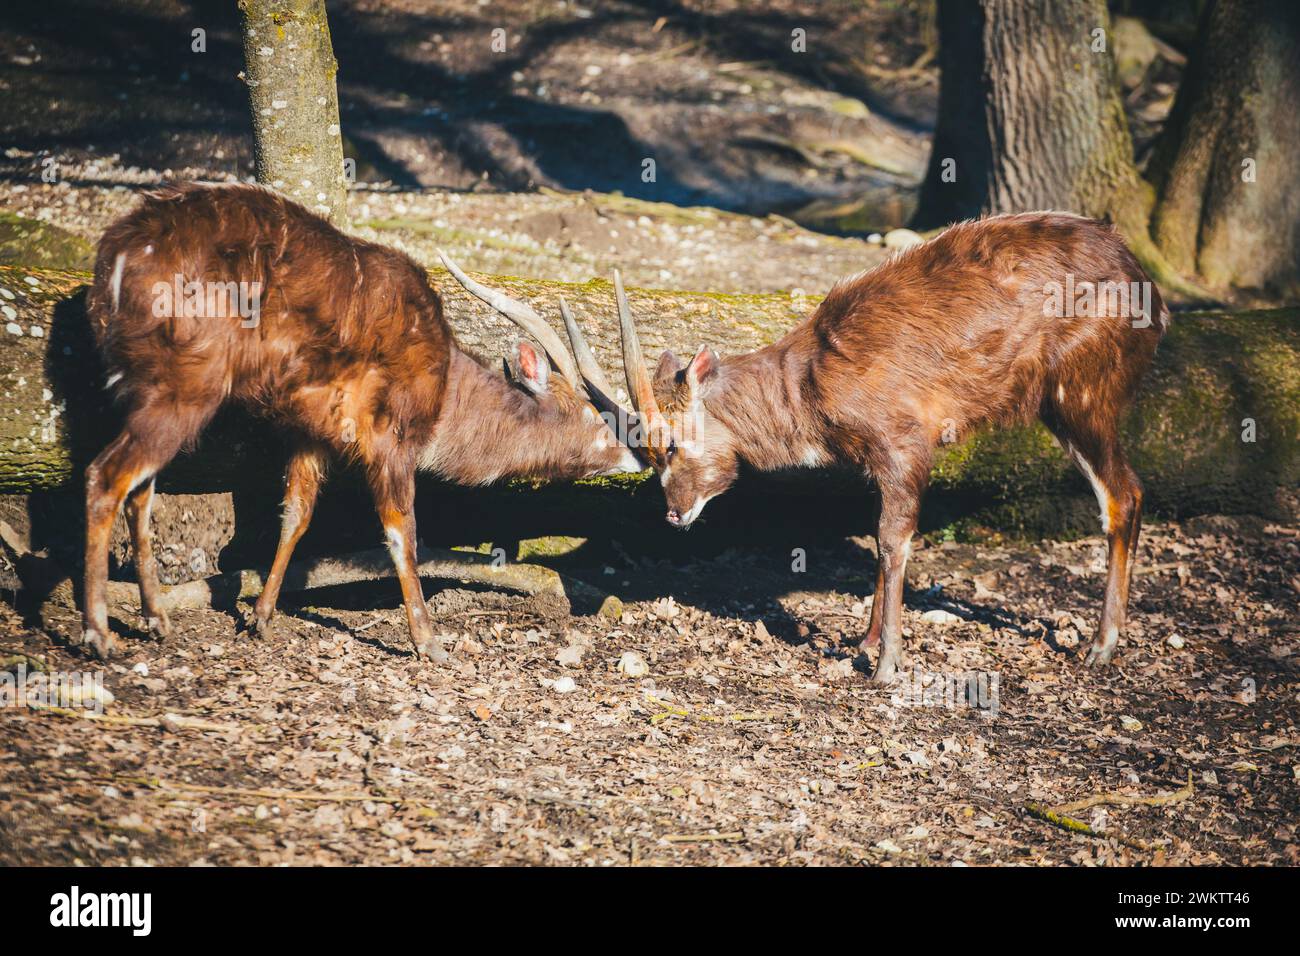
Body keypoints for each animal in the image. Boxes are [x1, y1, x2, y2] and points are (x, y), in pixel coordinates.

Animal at [78, 184, 637, 665]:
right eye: (594, 413)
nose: (634, 452)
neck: (445, 386)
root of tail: (114, 254)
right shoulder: (391, 441)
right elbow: (401, 532)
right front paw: (428, 642)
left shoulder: (311, 434)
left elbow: (296, 514)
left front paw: (261, 617)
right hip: (184, 388)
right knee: (107, 476)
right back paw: (100, 634)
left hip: (147, 392)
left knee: (141, 490)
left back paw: (156, 620)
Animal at [603, 214, 1175, 686]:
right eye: (647, 453)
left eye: (671, 445)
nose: (675, 513)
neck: (809, 381)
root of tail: (1150, 291)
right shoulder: (875, 462)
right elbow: (878, 538)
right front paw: (866, 642)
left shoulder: (905, 445)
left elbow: (892, 540)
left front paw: (887, 665)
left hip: (1082, 397)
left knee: (1124, 494)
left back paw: (1101, 647)